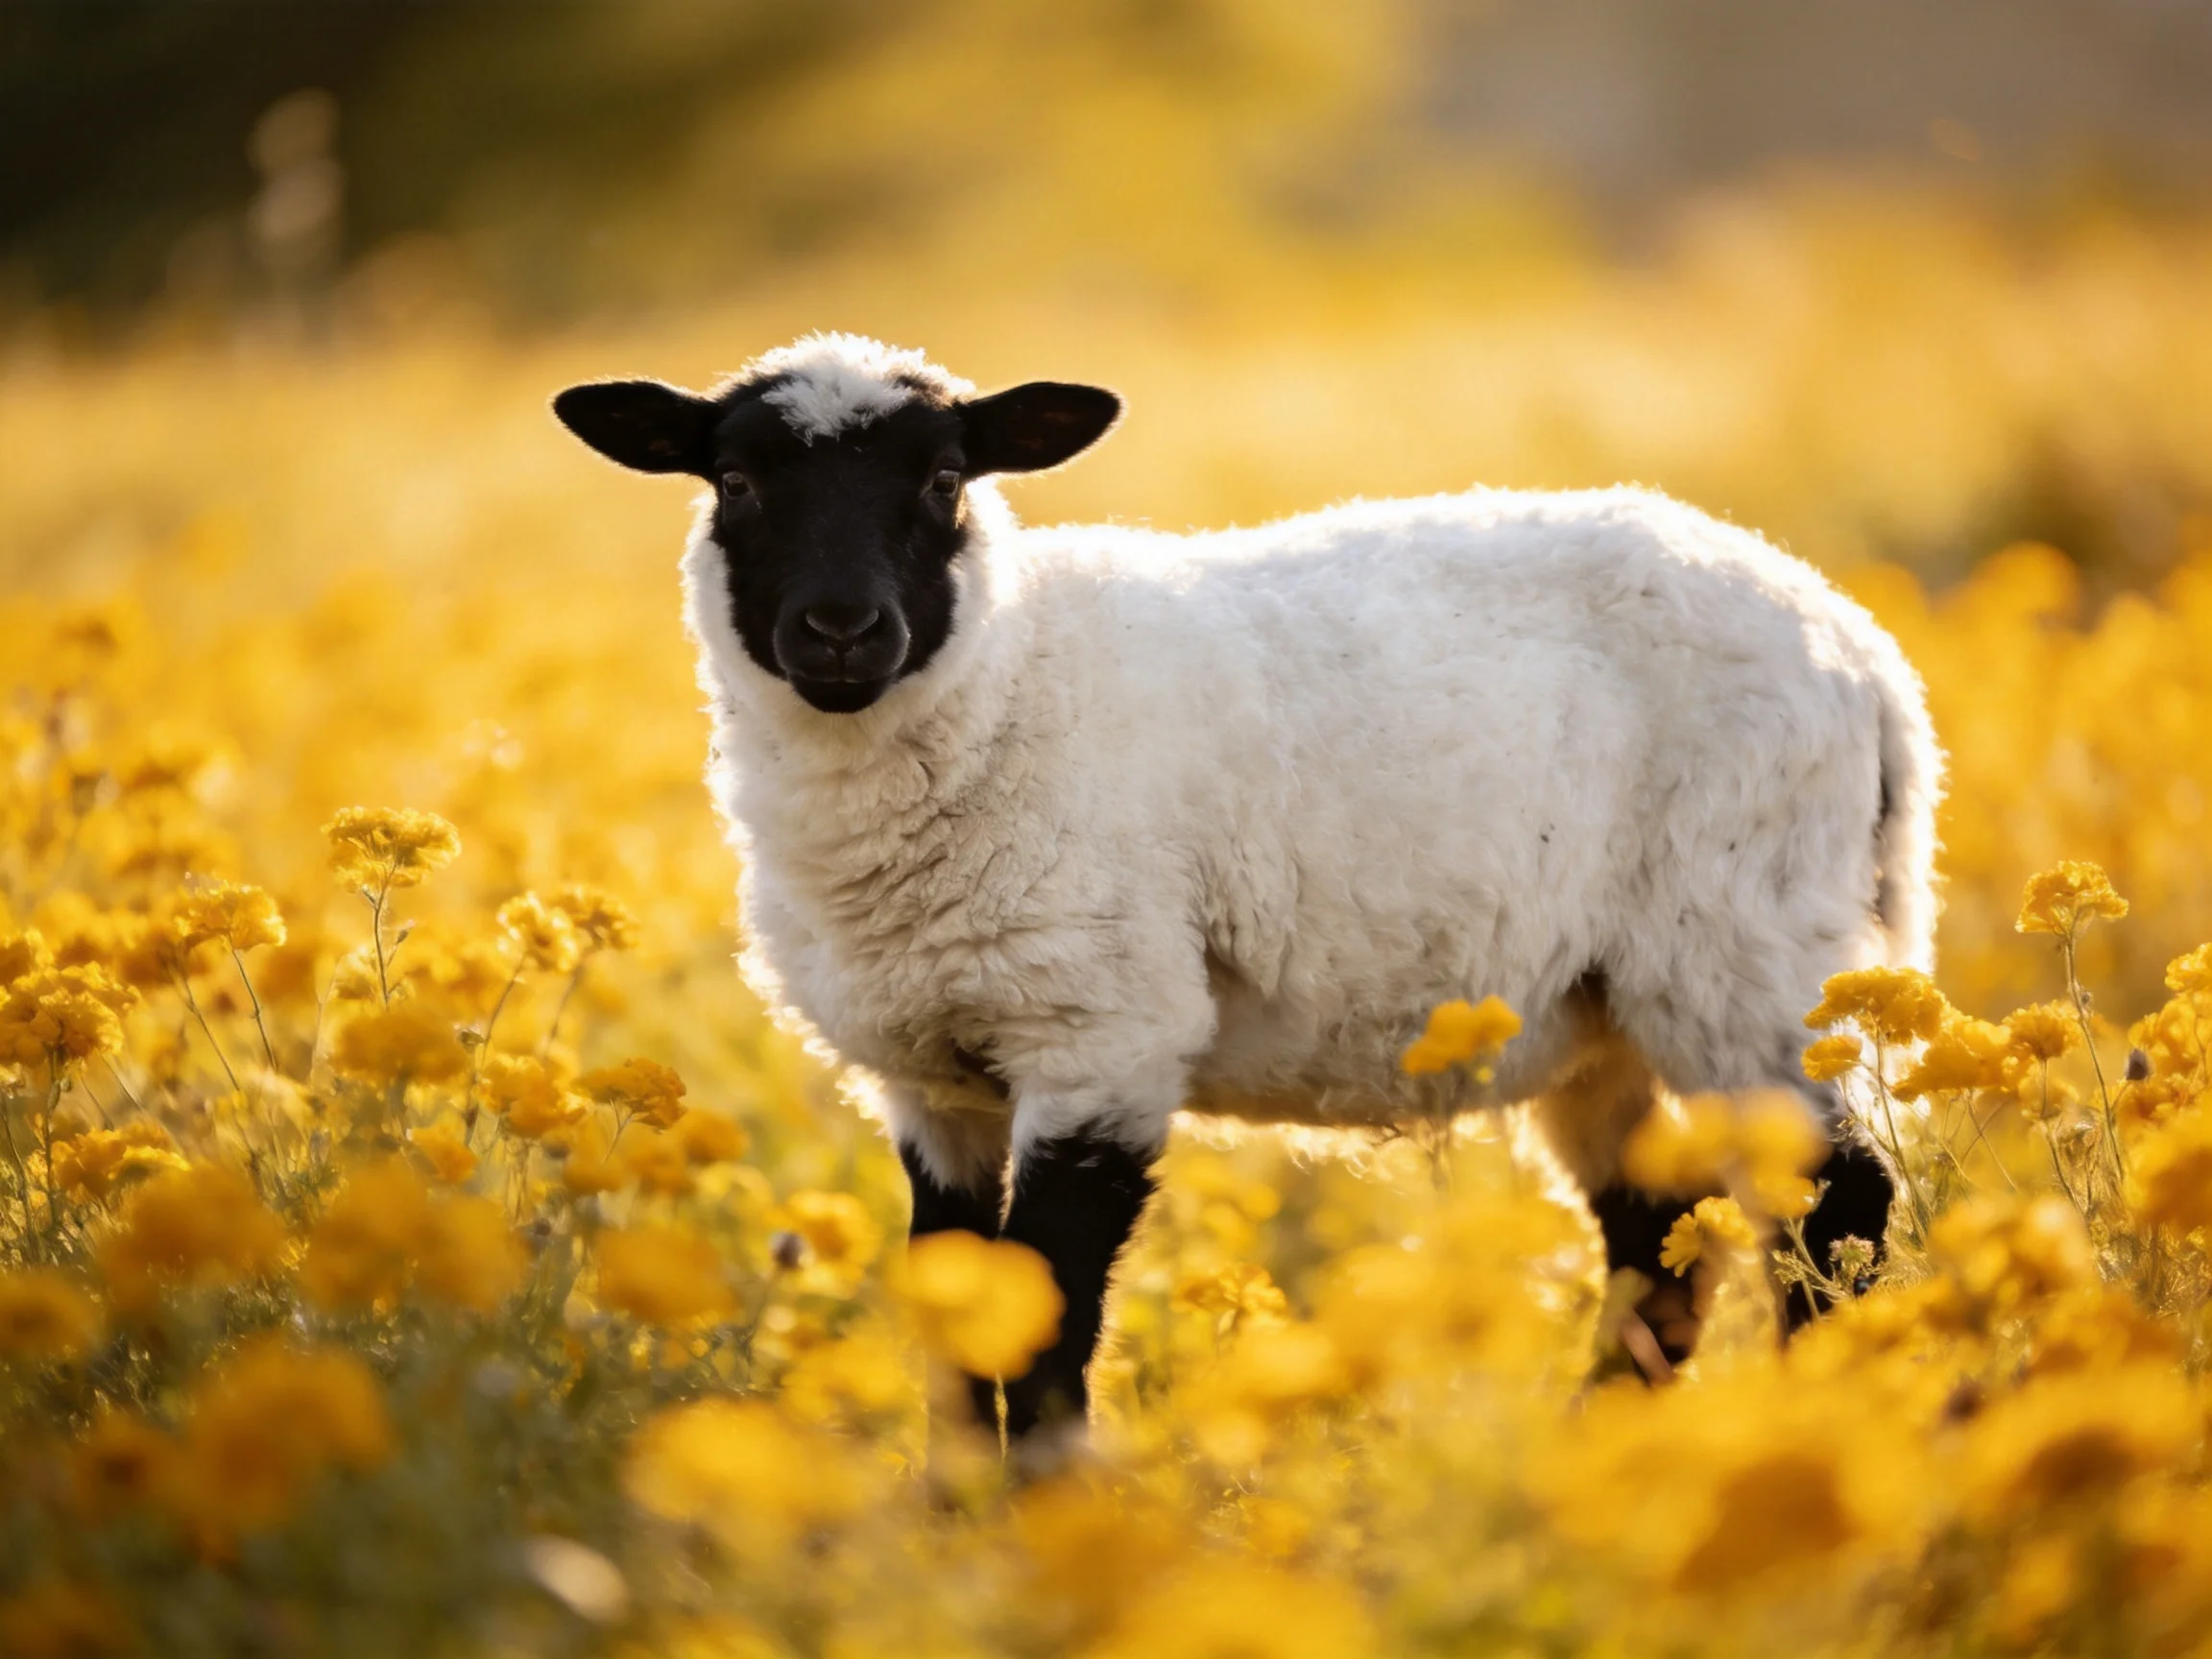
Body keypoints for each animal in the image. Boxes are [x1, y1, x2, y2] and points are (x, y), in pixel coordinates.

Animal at [552, 331, 1942, 1440]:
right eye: (735, 483)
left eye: (947, 481)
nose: (842, 633)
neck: (1010, 683)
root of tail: (1864, 653)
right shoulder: (930, 1078)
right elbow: (955, 1318)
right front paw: (949, 1529)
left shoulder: (1102, 1034)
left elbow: (1047, 1329)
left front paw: (1046, 1530)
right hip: (1606, 1015)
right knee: (1657, 1239)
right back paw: (1597, 1456)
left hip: (1746, 946)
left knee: (1839, 1210)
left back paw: (1833, 1429)